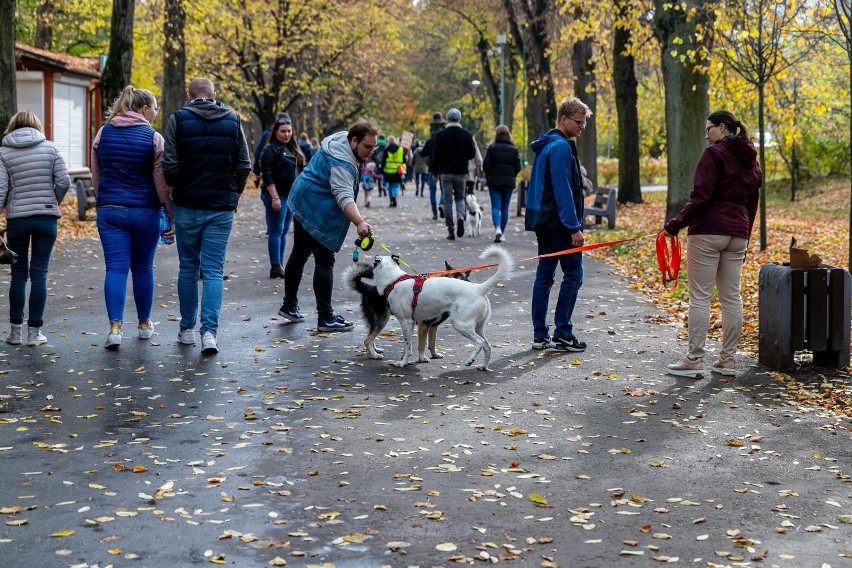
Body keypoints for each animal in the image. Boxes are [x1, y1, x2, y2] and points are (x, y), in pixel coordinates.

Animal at [342, 260, 470, 360]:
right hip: (382, 320)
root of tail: (368, 288)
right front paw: (422, 358)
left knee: (370, 337)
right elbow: (422, 344)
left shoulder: (433, 326)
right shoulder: (424, 325)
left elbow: (432, 343)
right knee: (367, 340)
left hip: (376, 321)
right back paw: (374, 355)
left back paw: (375, 350)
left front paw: (434, 354)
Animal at [370, 245, 510, 370]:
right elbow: (411, 346)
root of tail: (478, 288)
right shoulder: (413, 324)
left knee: (480, 342)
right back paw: (483, 366)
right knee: (487, 346)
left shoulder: (406, 322)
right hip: (478, 327)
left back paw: (470, 360)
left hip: (460, 324)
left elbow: (408, 347)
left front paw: (402, 363)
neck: (394, 280)